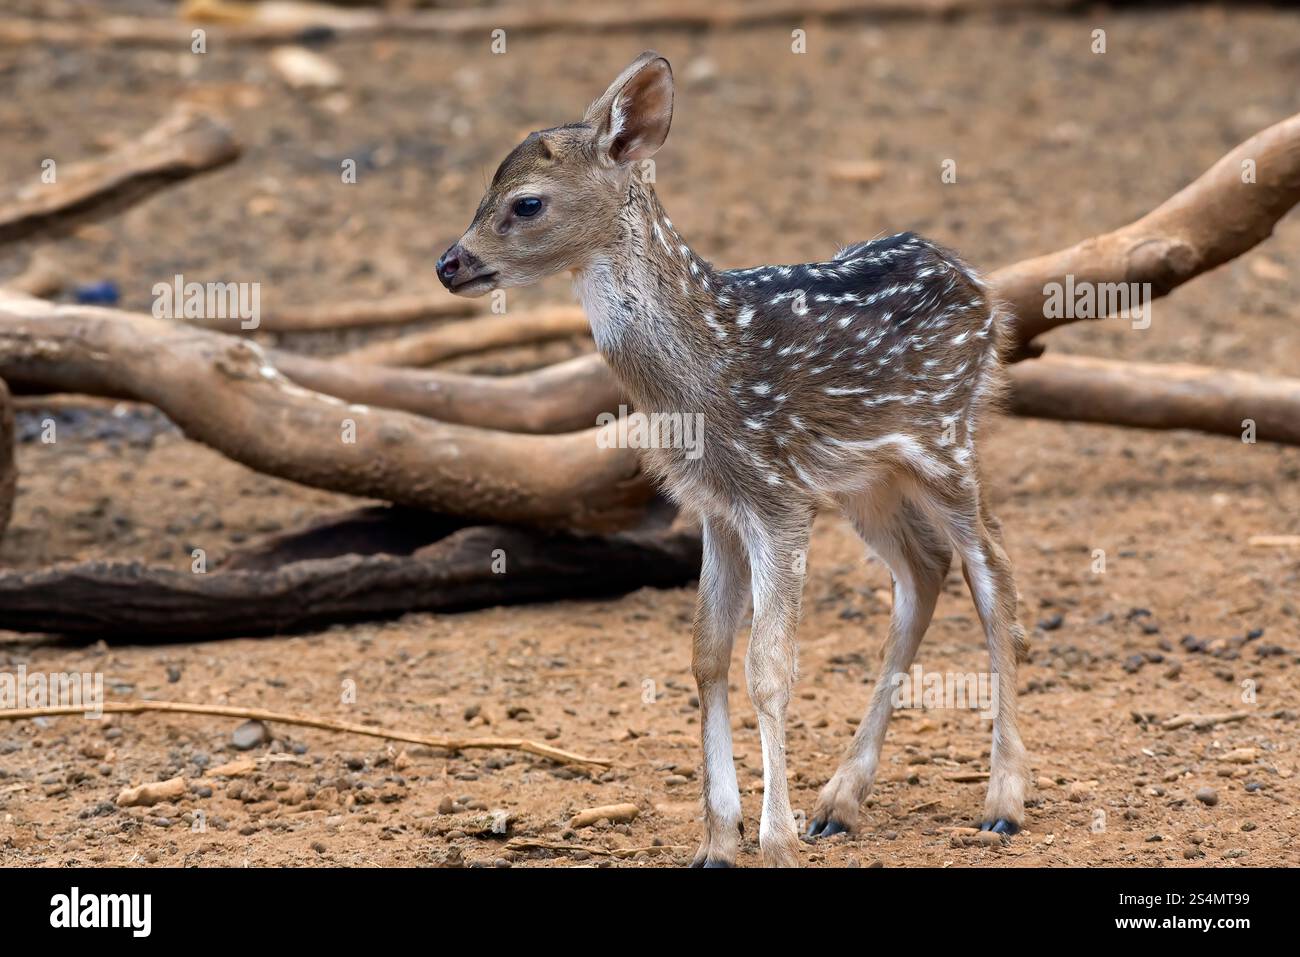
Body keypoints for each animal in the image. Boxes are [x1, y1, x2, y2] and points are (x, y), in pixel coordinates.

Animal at [438, 51, 1029, 867]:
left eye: (525, 203)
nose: (448, 263)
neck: (703, 375)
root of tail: (984, 293)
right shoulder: (717, 505)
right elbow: (707, 655)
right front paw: (719, 840)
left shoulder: (776, 497)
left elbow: (769, 669)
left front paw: (774, 841)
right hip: (868, 481)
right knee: (923, 569)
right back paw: (839, 801)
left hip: (947, 437)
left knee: (993, 571)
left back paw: (1002, 802)